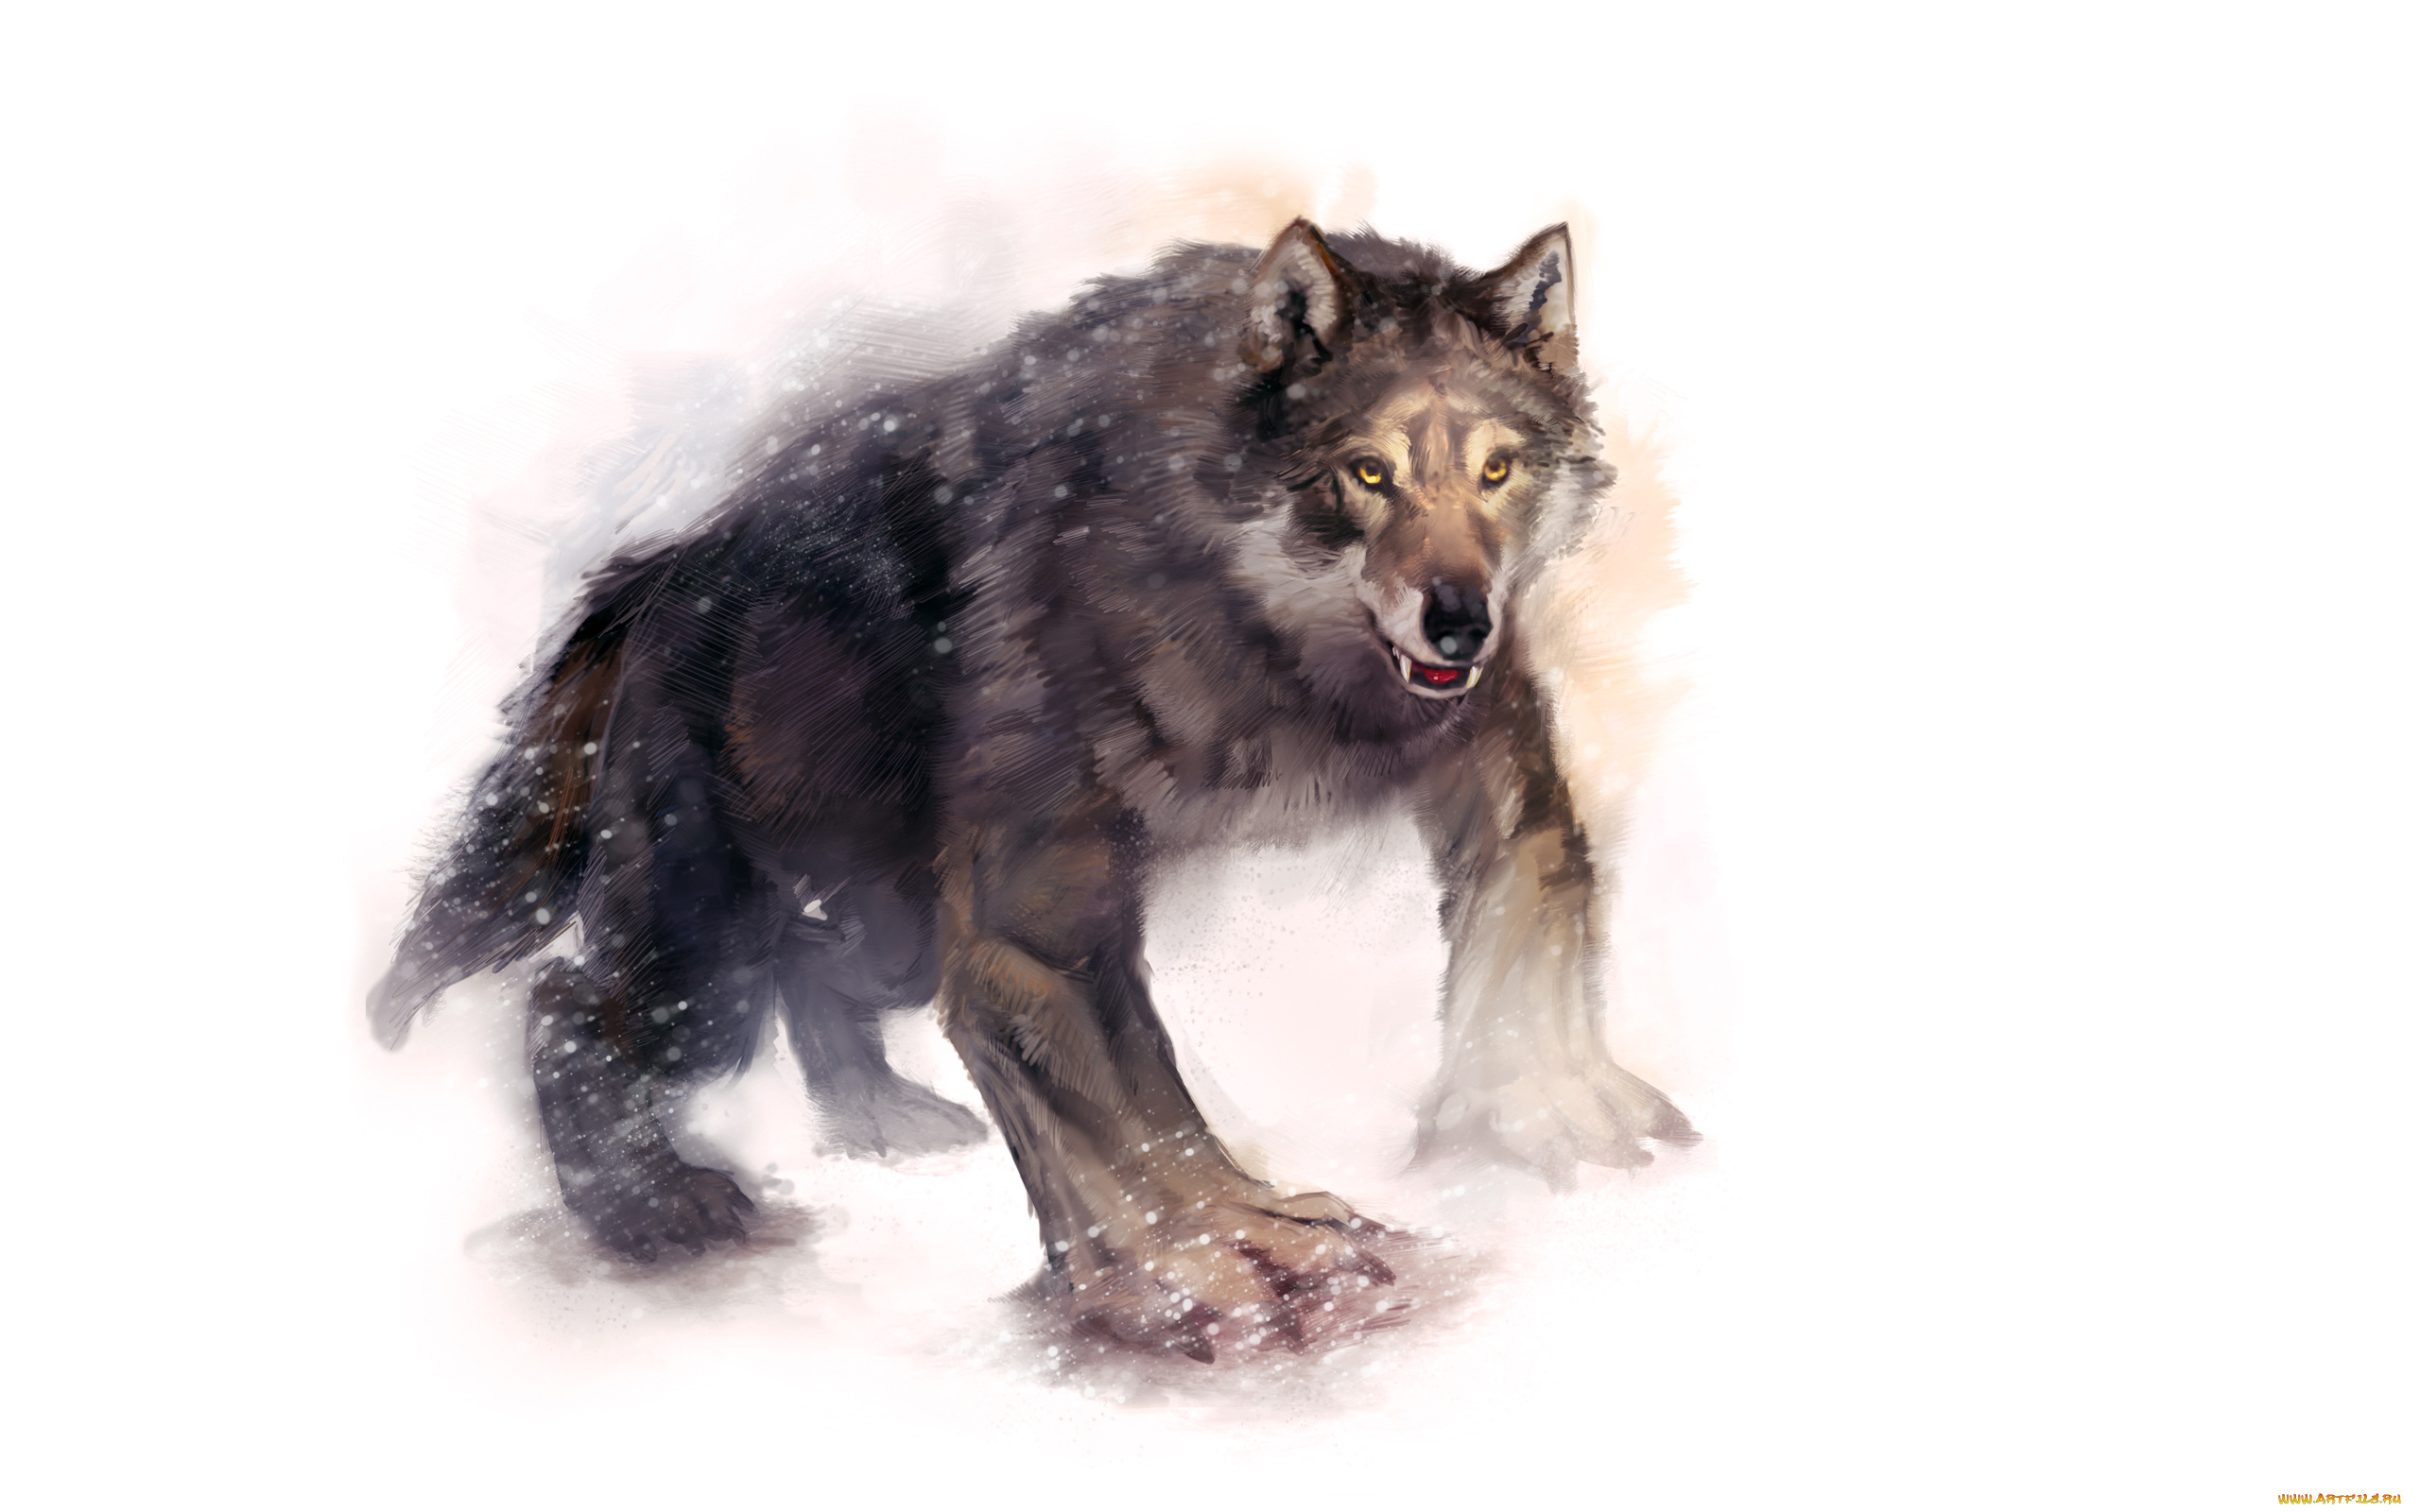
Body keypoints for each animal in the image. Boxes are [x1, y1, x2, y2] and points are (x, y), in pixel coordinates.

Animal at [370, 218, 1697, 1359]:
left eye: (1498, 470)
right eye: (1365, 473)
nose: (1458, 619)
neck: (1275, 647)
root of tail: (665, 563)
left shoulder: (1499, 778)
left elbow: (1532, 923)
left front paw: (1550, 1118)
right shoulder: (1039, 930)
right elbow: (1131, 1105)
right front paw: (1225, 1262)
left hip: (885, 931)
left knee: (810, 973)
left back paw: (878, 1119)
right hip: (710, 958)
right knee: (564, 1006)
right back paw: (647, 1214)